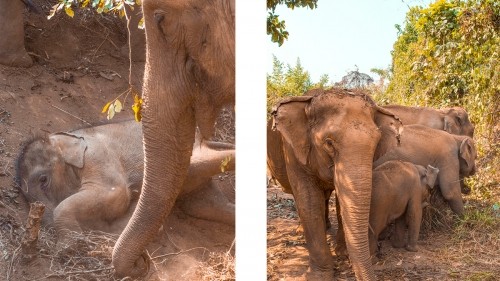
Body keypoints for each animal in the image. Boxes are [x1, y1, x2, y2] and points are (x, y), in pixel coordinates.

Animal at [268, 88, 400, 280]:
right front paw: (319, 275)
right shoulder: (292, 151)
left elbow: (341, 201)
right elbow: (309, 201)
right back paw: (301, 231)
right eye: (329, 143)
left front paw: (342, 254)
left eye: (377, 143)